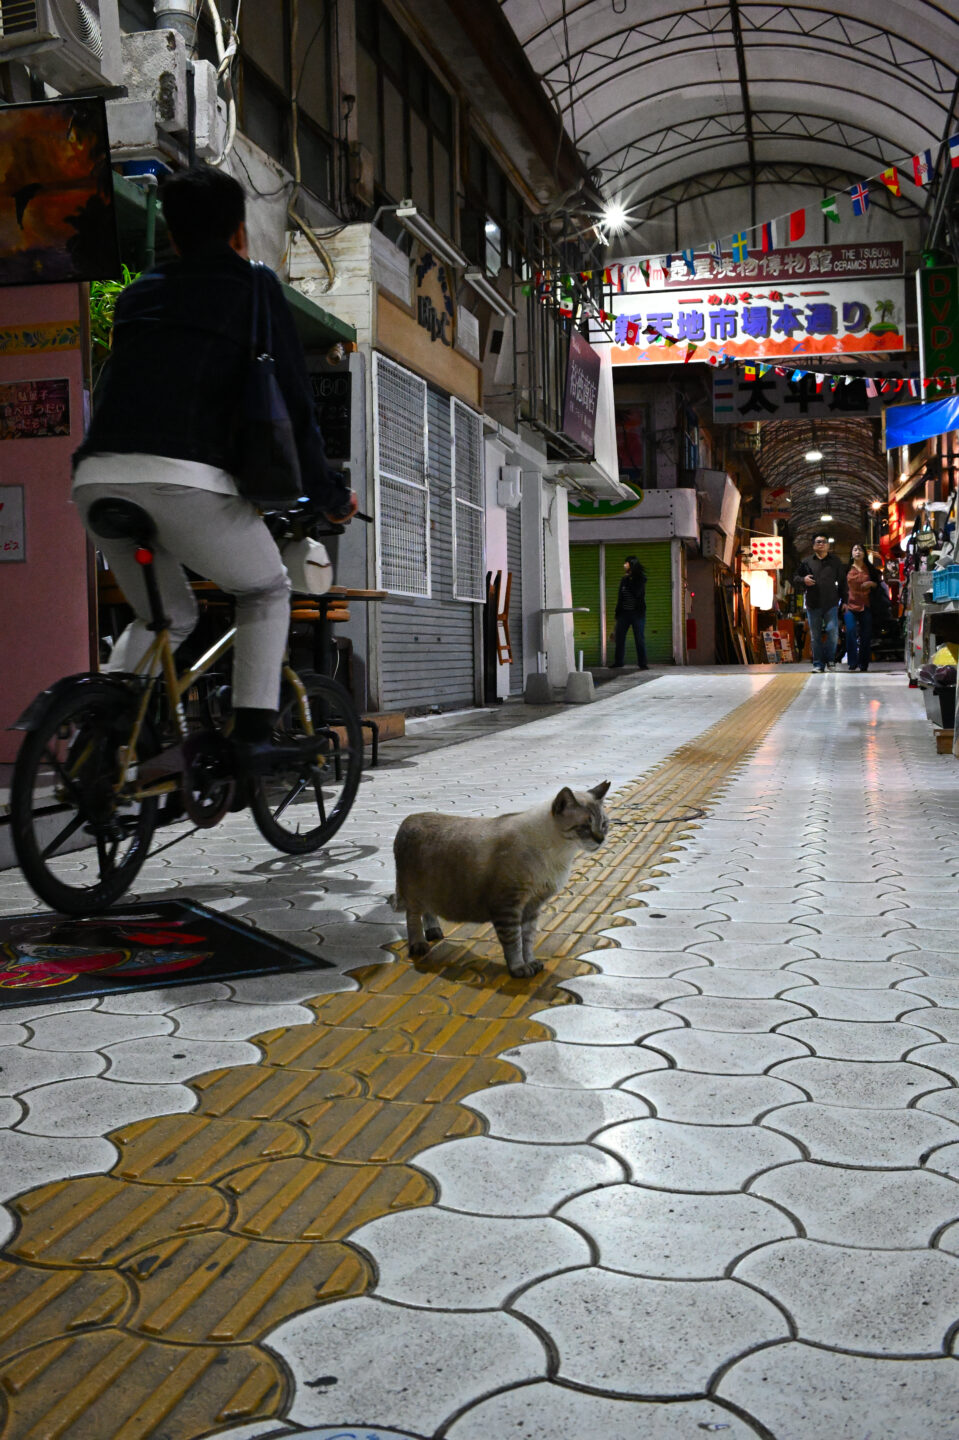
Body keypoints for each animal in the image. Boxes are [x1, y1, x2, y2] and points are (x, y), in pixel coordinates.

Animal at [391, 781, 611, 977]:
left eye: (604, 825)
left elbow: (527, 942)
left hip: (429, 890)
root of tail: (409, 818)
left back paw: (434, 932)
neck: (560, 854)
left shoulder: (532, 907)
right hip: (413, 892)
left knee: (428, 911)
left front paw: (531, 963)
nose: (601, 840)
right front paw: (519, 969)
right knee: (413, 918)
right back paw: (419, 944)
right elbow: (514, 944)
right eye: (584, 826)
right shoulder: (508, 907)